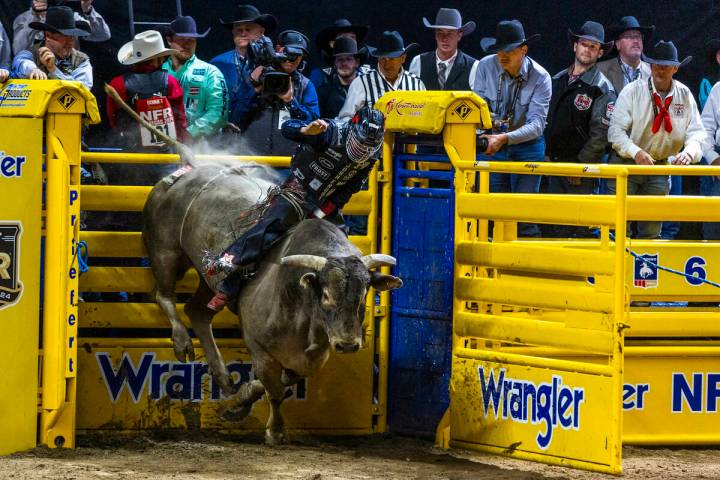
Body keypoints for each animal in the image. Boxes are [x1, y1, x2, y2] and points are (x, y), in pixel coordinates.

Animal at [141, 163, 400, 444]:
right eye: (325, 295)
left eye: (364, 293)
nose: (348, 344)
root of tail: (187, 171)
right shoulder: (258, 346)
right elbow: (274, 391)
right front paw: (274, 430)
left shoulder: (312, 357)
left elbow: (284, 380)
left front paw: (242, 398)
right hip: (166, 252)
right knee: (164, 295)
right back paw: (182, 342)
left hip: (207, 281)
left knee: (197, 311)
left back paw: (224, 377)